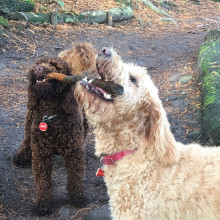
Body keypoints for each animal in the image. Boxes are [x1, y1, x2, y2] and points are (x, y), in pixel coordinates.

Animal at [12, 57, 88, 217]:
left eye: (54, 66)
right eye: (37, 63)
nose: (38, 68)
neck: (51, 115)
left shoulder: (75, 152)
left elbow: (76, 177)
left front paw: (78, 198)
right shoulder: (41, 155)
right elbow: (43, 182)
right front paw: (43, 204)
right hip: (29, 119)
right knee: (26, 140)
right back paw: (22, 156)